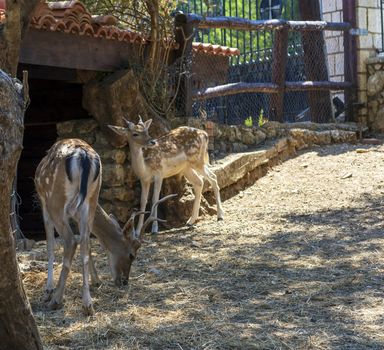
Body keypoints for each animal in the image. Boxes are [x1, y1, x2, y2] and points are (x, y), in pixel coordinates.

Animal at [35, 138, 174, 316]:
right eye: (132, 256)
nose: (124, 281)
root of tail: (83, 156)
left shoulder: (44, 202)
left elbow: (50, 245)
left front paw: (48, 289)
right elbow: (87, 245)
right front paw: (96, 281)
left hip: (55, 200)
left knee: (71, 241)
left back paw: (56, 300)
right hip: (91, 199)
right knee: (83, 242)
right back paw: (87, 304)